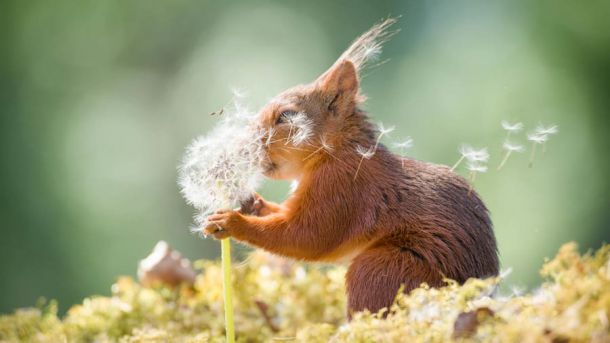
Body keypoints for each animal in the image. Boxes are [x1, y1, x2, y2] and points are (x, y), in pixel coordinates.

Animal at [202, 18, 496, 318]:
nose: (243, 146)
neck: (334, 152)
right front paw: (252, 203)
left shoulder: (343, 187)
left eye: (286, 116)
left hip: (382, 269)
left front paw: (232, 222)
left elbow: (307, 236)